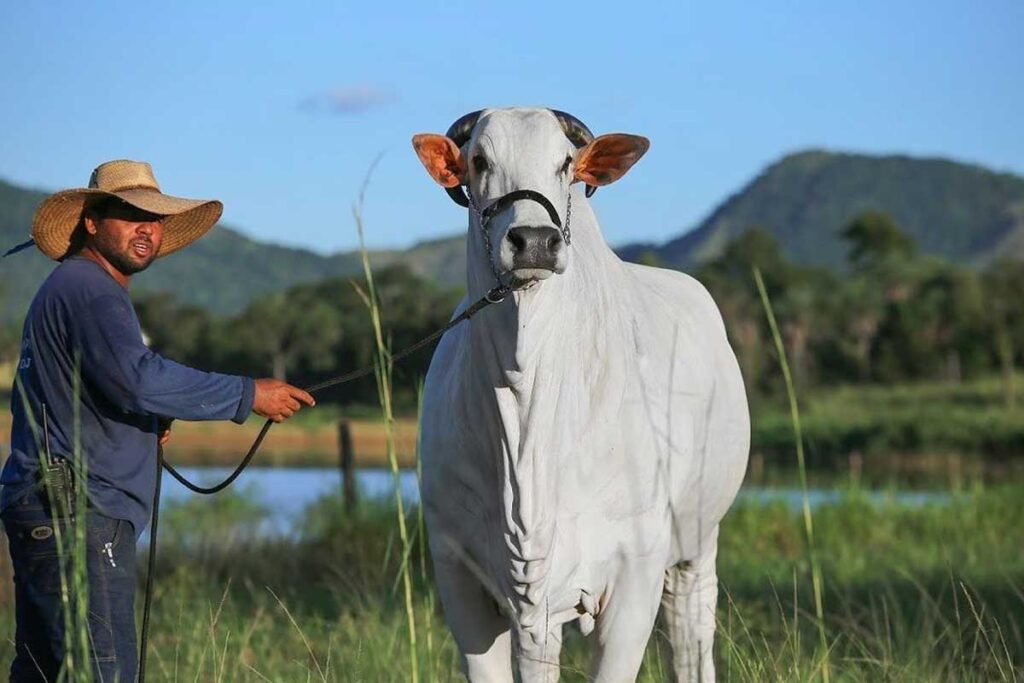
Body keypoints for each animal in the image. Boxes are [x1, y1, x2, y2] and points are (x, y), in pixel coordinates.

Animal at [409, 109, 753, 679]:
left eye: (566, 163)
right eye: (478, 160)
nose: (533, 240)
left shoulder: (636, 571)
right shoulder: (457, 571)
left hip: (699, 543)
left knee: (690, 639)